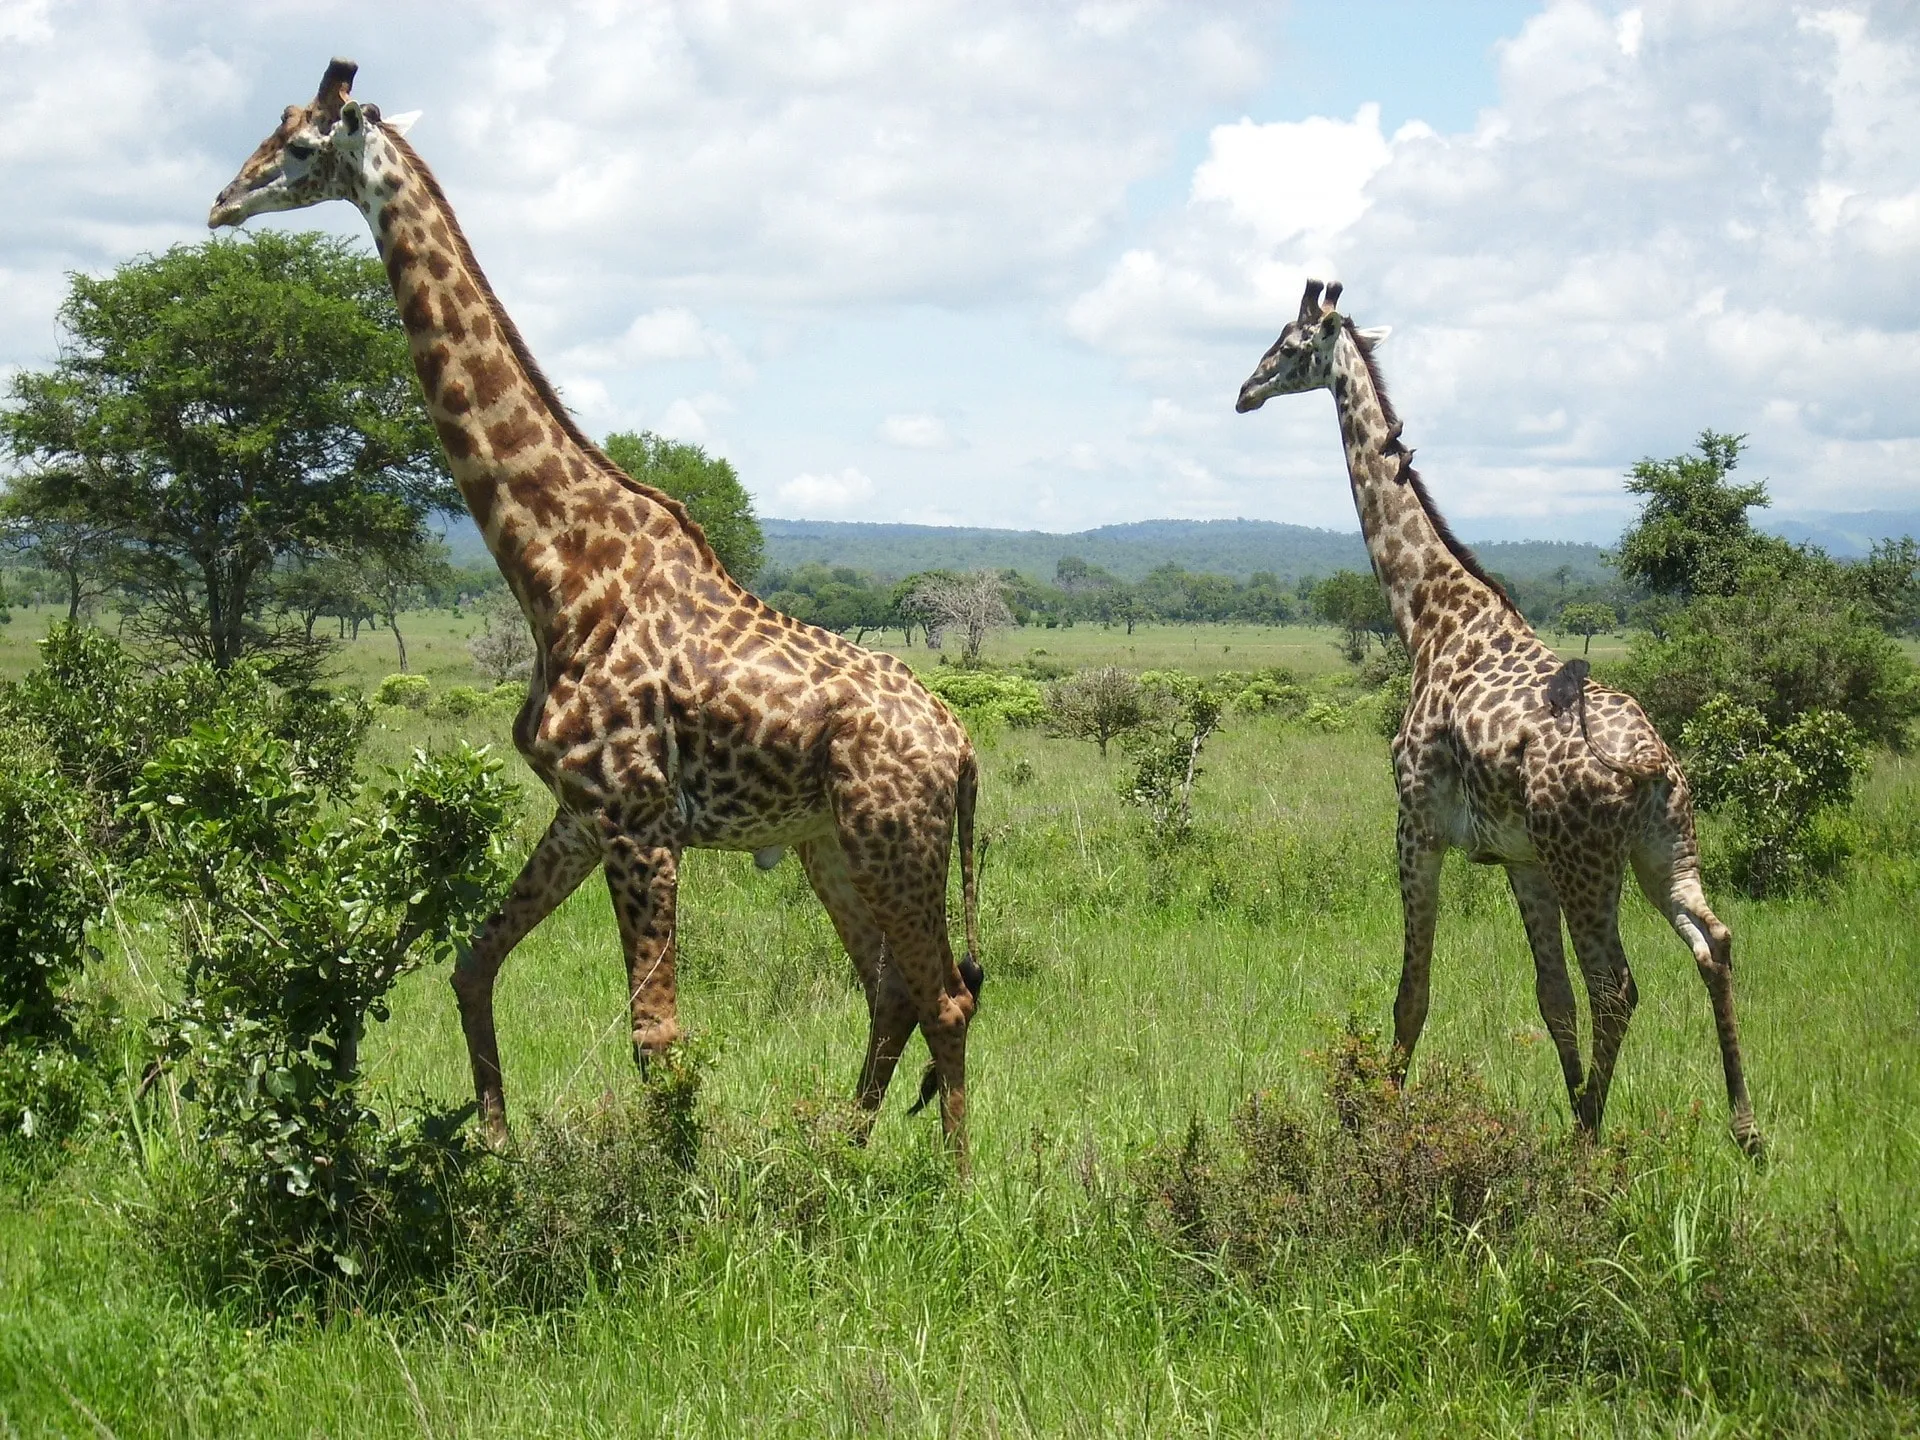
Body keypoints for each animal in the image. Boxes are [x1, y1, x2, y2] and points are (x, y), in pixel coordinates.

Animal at [214, 61, 990, 1159]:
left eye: (297, 145)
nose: (220, 204)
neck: (559, 574)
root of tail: (961, 747)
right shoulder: (580, 813)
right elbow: (472, 961)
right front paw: (496, 1145)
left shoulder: (640, 819)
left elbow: (656, 1036)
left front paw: (675, 1191)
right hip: (830, 844)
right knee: (892, 993)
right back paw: (839, 1155)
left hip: (895, 843)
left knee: (945, 999)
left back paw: (950, 1183)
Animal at [1236, 282, 1758, 1159]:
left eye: (1289, 343)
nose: (1244, 391)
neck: (1426, 615)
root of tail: (1654, 768)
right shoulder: (1521, 858)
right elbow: (1550, 998)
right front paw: (1573, 1107)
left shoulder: (1417, 827)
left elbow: (1413, 992)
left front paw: (1384, 1118)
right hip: (1663, 851)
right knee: (1711, 942)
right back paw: (1742, 1129)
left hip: (1591, 863)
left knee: (1618, 985)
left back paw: (1593, 1148)